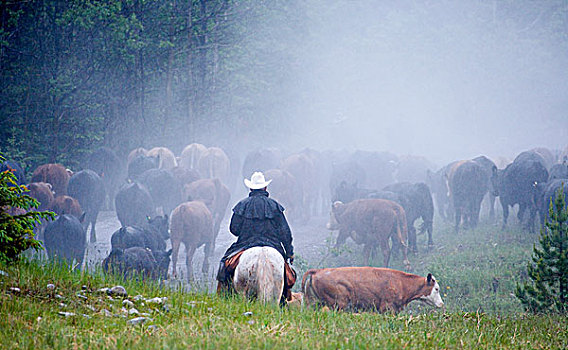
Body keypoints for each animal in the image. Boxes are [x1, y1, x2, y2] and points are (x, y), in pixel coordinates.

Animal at [302, 266, 444, 314]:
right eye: (436, 289)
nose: (441, 304)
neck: (401, 283)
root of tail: (318, 271)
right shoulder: (387, 308)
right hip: (339, 304)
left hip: (314, 303)